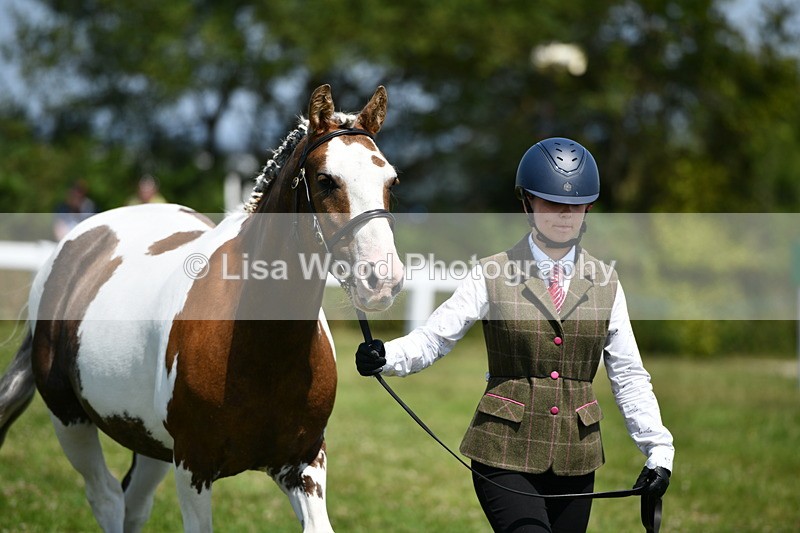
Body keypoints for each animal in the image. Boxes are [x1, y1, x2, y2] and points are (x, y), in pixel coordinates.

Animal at [0, 84, 404, 532]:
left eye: (391, 180)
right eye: (325, 179)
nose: (382, 279)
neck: (260, 346)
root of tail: (74, 246)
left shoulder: (303, 464)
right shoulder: (193, 465)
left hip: (150, 441)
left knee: (133, 503)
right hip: (70, 419)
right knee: (105, 497)